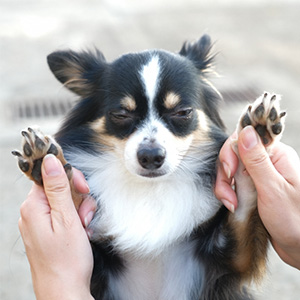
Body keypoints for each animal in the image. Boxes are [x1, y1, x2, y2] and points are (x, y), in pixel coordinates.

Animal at [13, 34, 286, 298]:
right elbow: (74, 201)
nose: (151, 156)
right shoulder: (91, 264)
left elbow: (245, 206)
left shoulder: (228, 262)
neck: (149, 190)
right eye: (121, 115)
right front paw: (45, 161)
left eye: (182, 112)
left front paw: (254, 137)